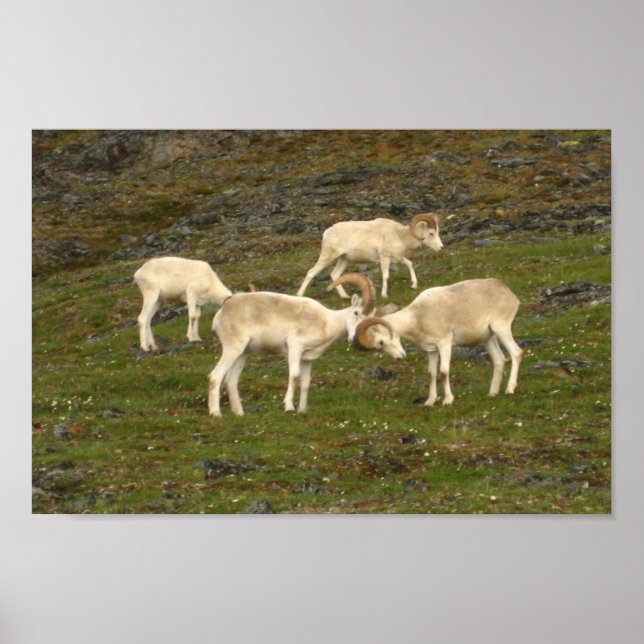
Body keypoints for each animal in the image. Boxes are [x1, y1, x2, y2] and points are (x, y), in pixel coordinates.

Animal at [208, 273, 375, 416]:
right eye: (356, 313)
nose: (354, 339)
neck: (326, 322)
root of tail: (223, 309)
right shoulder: (295, 348)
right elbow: (294, 375)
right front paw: (289, 407)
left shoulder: (307, 359)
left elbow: (306, 383)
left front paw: (302, 410)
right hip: (233, 349)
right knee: (215, 376)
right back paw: (216, 414)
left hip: (243, 354)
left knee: (231, 381)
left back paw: (240, 414)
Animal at [297, 213, 443, 299]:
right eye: (431, 233)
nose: (441, 247)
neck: (400, 235)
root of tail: (326, 233)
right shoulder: (384, 258)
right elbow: (386, 276)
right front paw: (384, 295)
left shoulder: (398, 258)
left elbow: (410, 264)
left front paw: (414, 285)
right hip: (328, 257)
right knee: (311, 273)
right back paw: (299, 295)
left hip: (343, 260)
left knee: (334, 275)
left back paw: (345, 296)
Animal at [346, 278, 523, 406]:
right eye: (380, 346)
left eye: (381, 342)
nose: (399, 357)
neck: (417, 318)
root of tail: (509, 294)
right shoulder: (431, 350)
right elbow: (431, 373)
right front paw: (429, 402)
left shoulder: (444, 343)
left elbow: (443, 372)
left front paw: (447, 400)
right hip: (489, 338)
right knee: (500, 360)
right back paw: (492, 393)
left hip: (501, 329)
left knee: (516, 353)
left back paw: (510, 390)